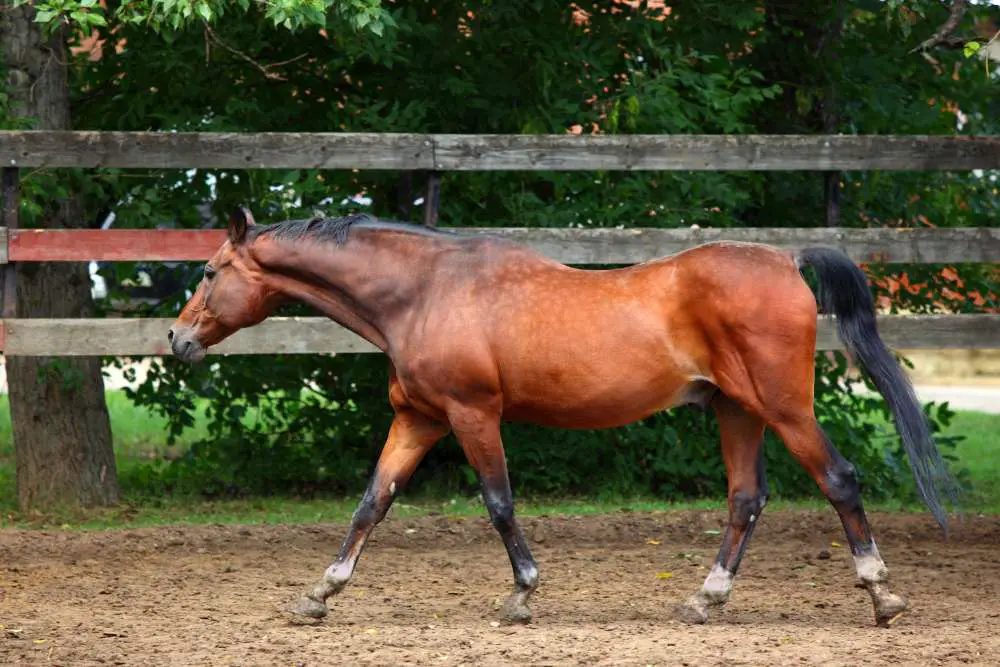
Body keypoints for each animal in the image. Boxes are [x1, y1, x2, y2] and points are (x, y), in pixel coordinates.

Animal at [168, 206, 956, 628]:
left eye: (208, 272)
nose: (176, 340)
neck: (423, 291)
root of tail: (786, 260)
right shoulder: (418, 419)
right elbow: (373, 501)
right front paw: (318, 594)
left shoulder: (472, 415)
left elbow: (498, 502)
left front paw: (522, 594)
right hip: (738, 413)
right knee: (746, 500)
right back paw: (705, 600)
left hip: (785, 408)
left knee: (839, 480)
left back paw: (882, 594)